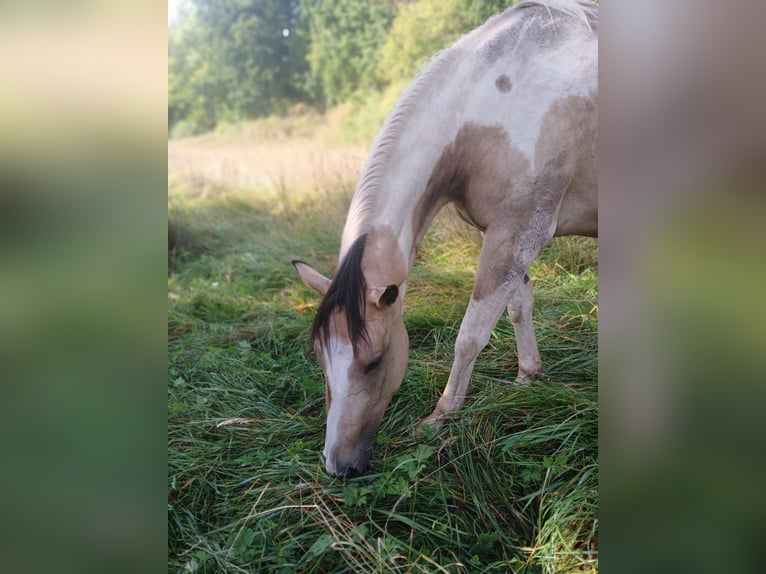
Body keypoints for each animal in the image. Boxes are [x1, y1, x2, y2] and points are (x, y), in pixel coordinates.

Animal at [293, 0, 598, 478]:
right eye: (321, 356)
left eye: (374, 361)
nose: (338, 466)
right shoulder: (505, 234)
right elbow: (518, 308)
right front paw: (526, 379)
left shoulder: (518, 232)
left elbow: (471, 335)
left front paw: (439, 418)